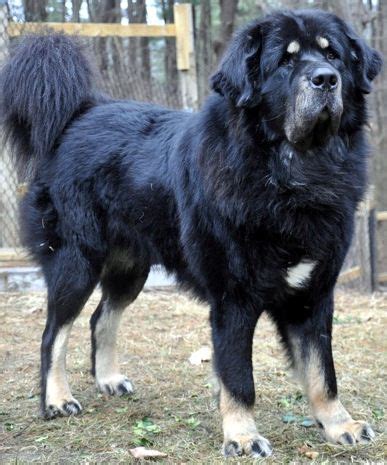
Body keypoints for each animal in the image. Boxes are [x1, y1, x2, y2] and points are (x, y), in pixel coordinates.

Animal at [0, 8, 382, 456]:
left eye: (333, 55)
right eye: (285, 62)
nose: (325, 79)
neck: (294, 173)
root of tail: (77, 116)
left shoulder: (314, 295)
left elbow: (323, 373)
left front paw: (340, 425)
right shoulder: (235, 298)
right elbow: (239, 377)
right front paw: (242, 436)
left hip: (130, 269)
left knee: (100, 319)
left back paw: (108, 380)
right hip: (75, 263)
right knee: (52, 334)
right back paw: (57, 400)